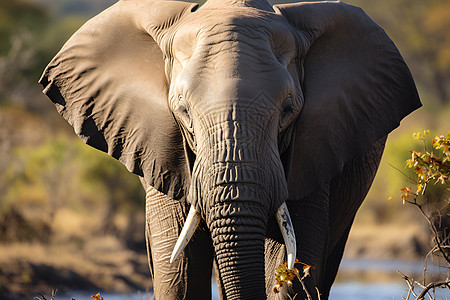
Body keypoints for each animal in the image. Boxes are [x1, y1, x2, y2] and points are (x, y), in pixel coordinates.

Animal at [39, 0, 422, 298]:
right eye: (183, 111)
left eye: (288, 110)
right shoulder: (161, 146)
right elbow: (178, 273)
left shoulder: (314, 148)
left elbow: (289, 265)